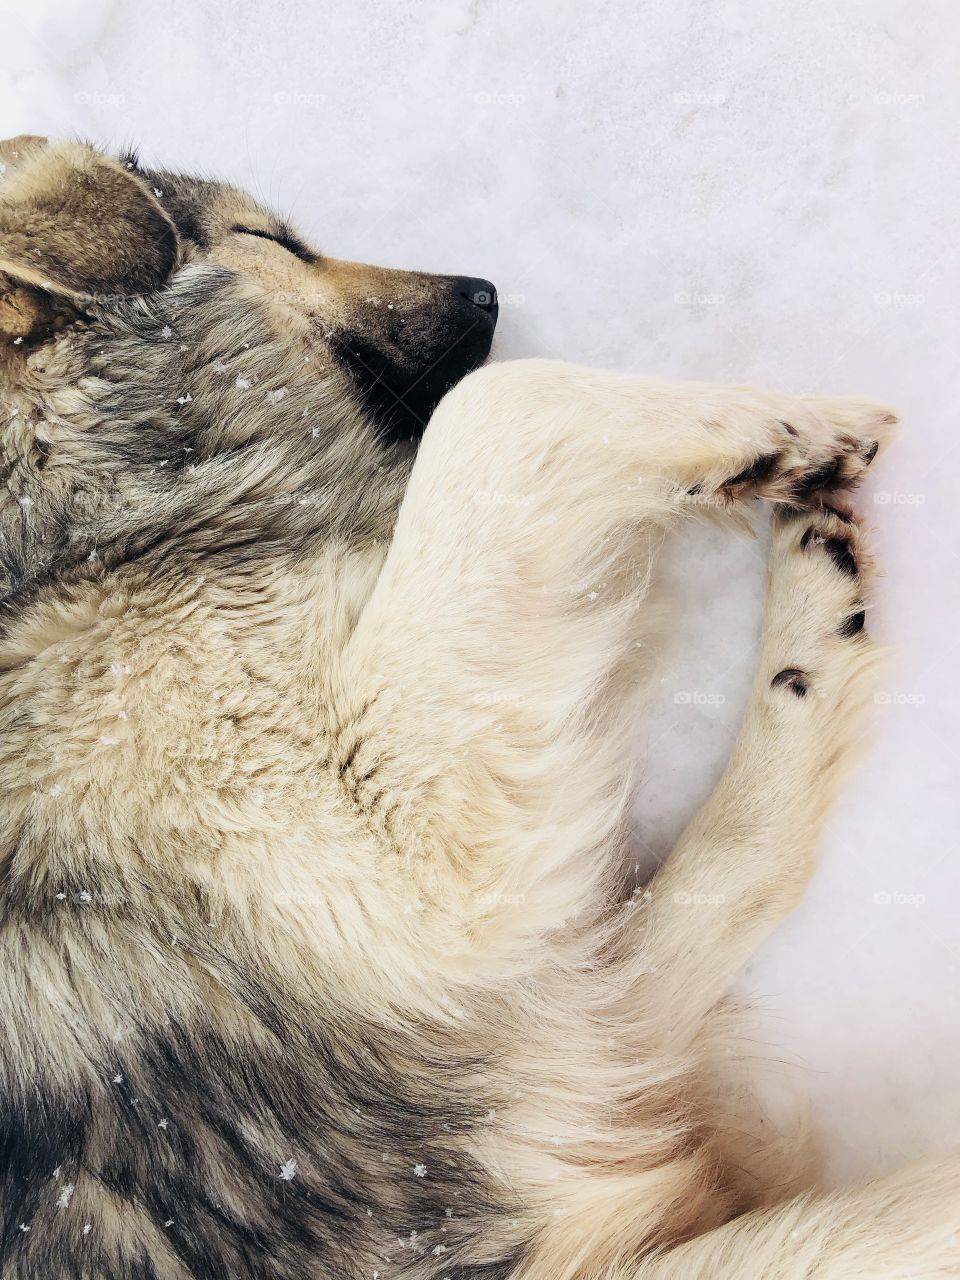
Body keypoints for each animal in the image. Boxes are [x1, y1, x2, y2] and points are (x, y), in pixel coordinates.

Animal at [0, 140, 957, 1280]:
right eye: (270, 240)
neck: (71, 533)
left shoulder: (546, 1033)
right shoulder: (398, 875)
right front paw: (780, 421)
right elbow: (501, 407)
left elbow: (723, 874)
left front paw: (810, 589)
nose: (485, 291)